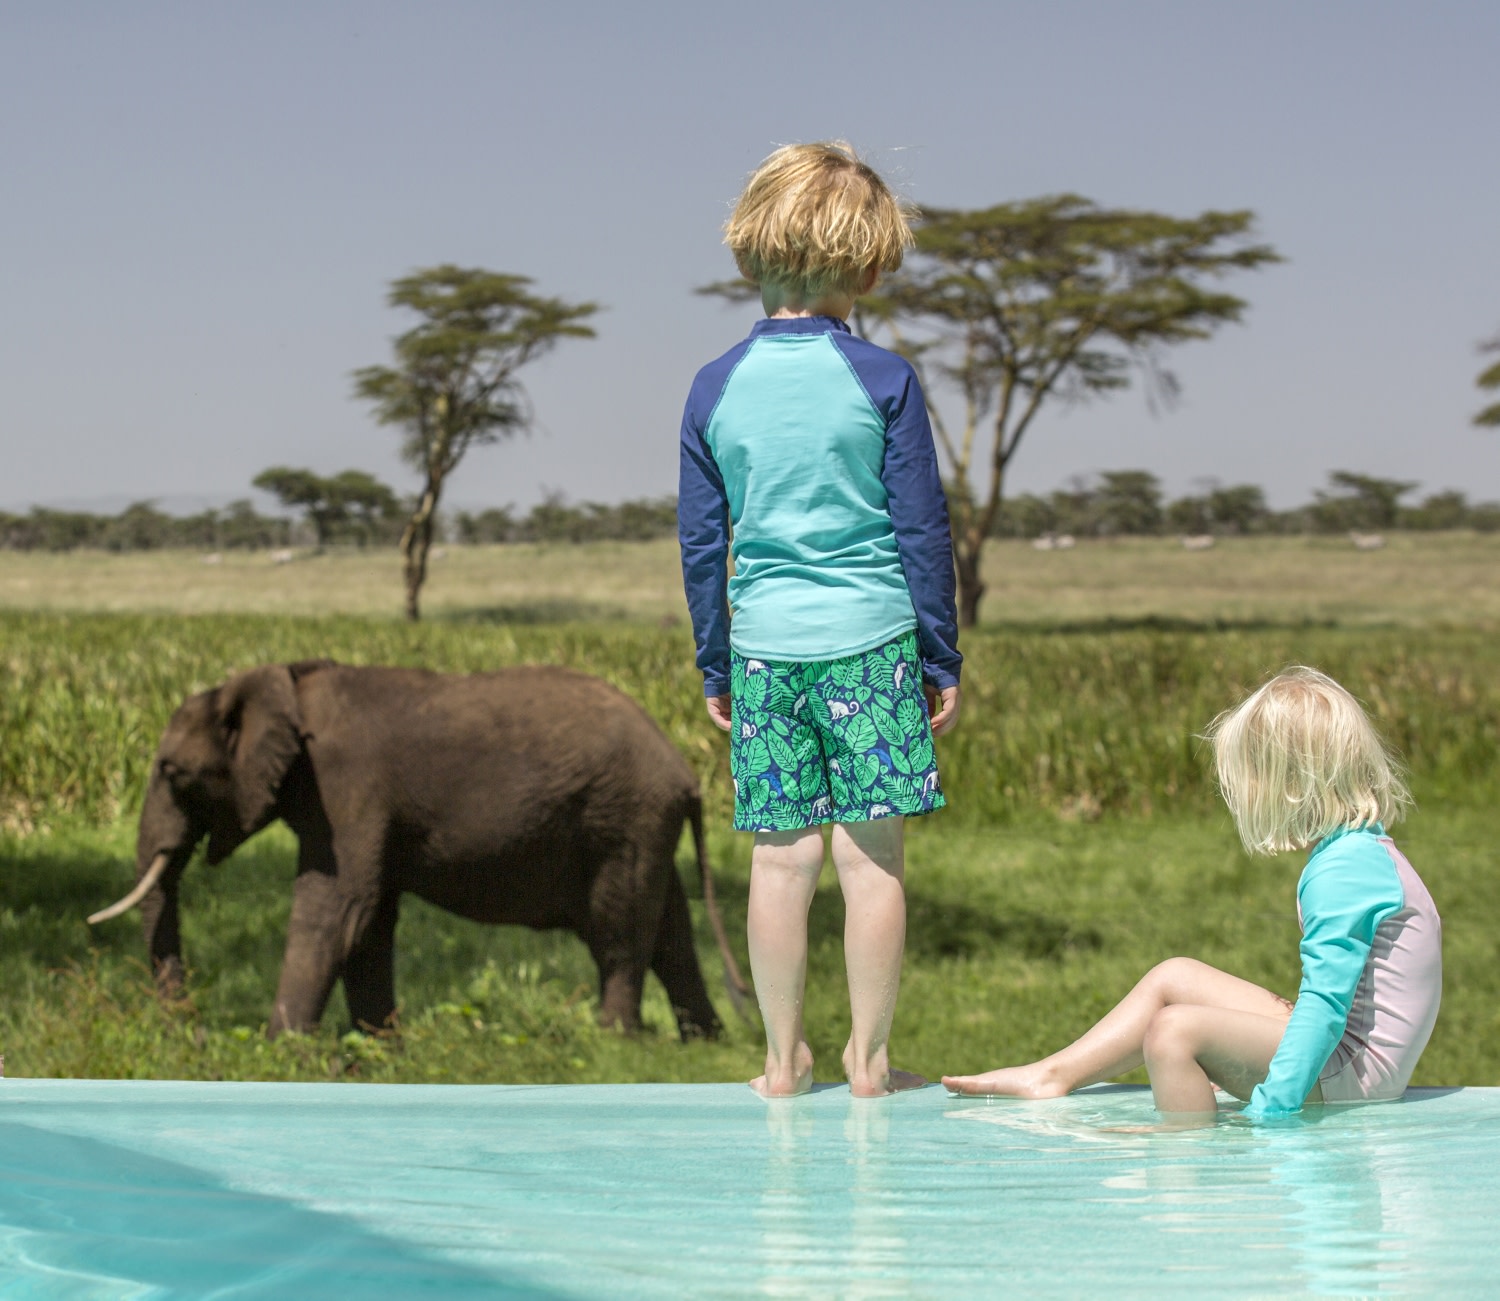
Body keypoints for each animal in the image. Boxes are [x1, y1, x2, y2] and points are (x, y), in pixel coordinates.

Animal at [89, 660, 750, 1038]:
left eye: (173, 773)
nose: (193, 1030)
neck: (278, 684)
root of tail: (685, 771)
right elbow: (369, 920)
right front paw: (375, 1054)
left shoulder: (345, 784)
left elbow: (338, 908)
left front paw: (282, 1053)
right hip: (642, 825)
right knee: (670, 933)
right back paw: (703, 1045)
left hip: (622, 822)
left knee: (618, 934)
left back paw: (614, 1045)